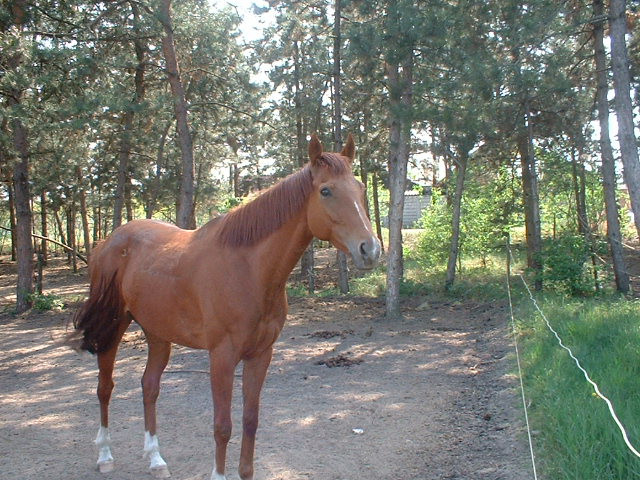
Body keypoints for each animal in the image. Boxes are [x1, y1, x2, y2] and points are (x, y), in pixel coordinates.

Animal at [71, 135, 380, 480]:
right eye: (326, 190)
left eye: (360, 187)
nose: (370, 249)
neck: (248, 269)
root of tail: (109, 241)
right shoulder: (221, 357)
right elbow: (222, 427)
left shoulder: (260, 355)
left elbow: (250, 420)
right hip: (113, 326)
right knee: (105, 388)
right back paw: (105, 455)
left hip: (157, 333)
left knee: (149, 387)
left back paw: (156, 459)